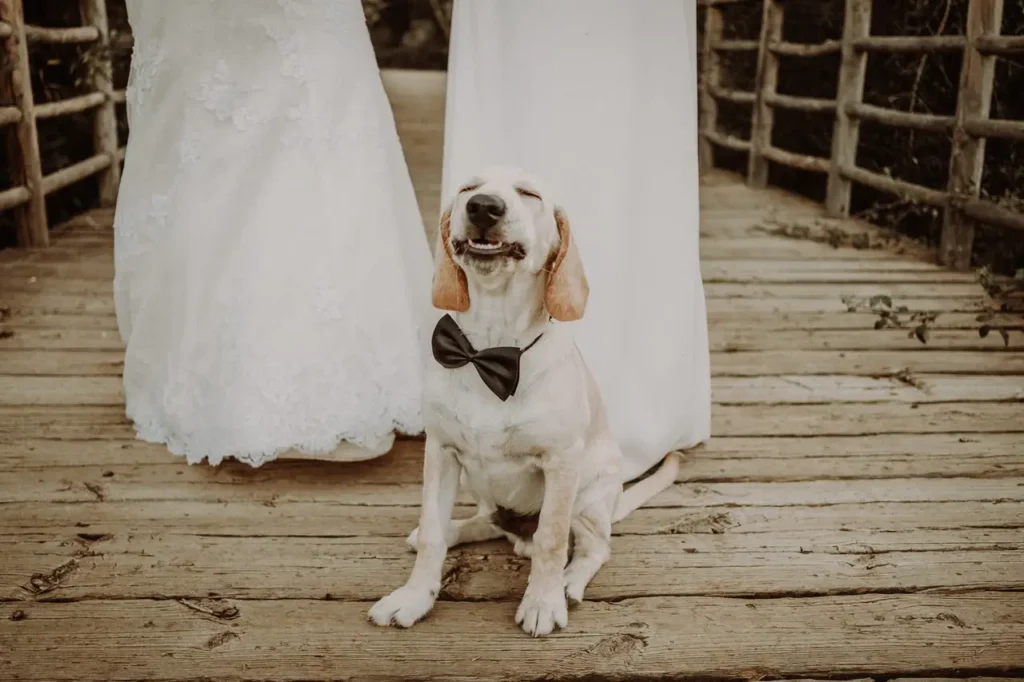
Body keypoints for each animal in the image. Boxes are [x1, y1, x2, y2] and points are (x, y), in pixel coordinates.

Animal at [368, 166, 679, 634]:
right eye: (468, 189)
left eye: (529, 194)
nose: (483, 207)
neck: (489, 351)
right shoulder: (440, 452)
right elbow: (432, 531)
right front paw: (413, 597)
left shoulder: (561, 463)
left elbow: (552, 538)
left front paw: (543, 602)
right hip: (481, 490)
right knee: (484, 524)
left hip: (591, 496)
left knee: (592, 548)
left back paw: (568, 583)